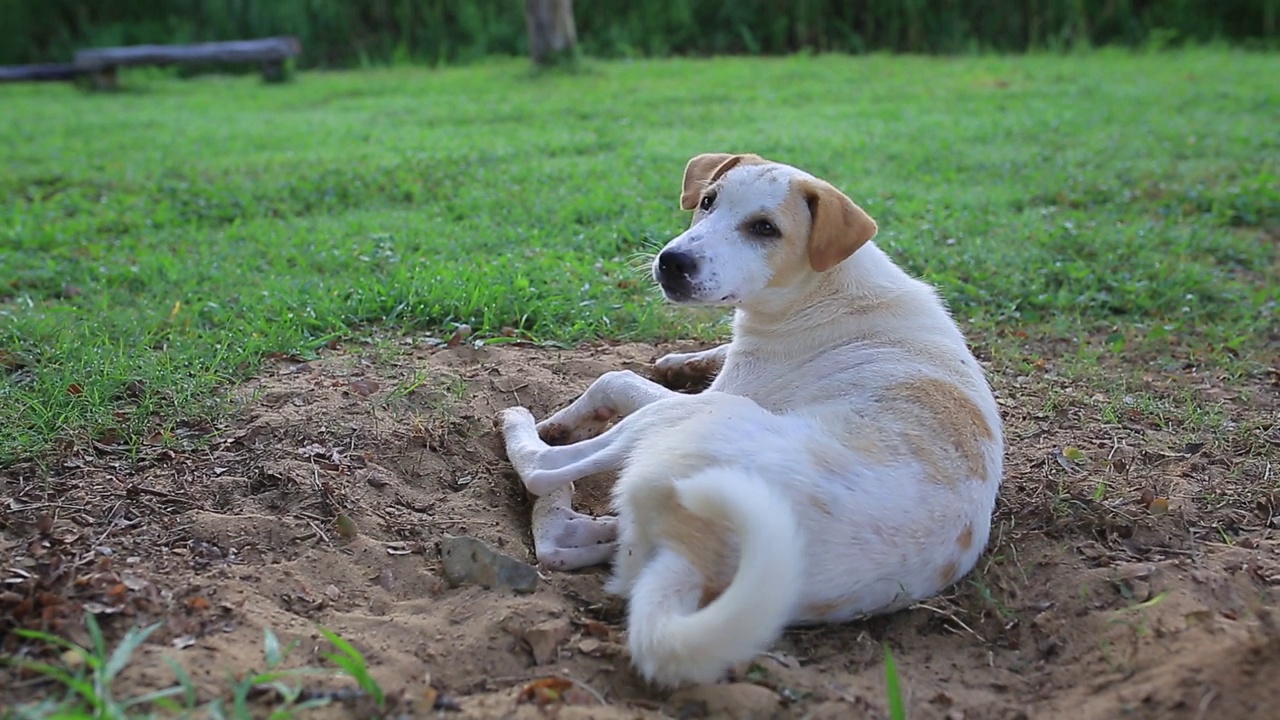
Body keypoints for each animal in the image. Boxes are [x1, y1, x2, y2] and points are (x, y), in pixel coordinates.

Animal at [504, 154, 1003, 686]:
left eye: (765, 228)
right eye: (707, 201)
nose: (672, 261)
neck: (825, 285)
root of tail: (696, 560)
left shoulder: (724, 390)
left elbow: (613, 380)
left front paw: (571, 417)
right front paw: (683, 360)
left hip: (697, 414)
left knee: (544, 476)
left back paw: (524, 433)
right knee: (568, 542)